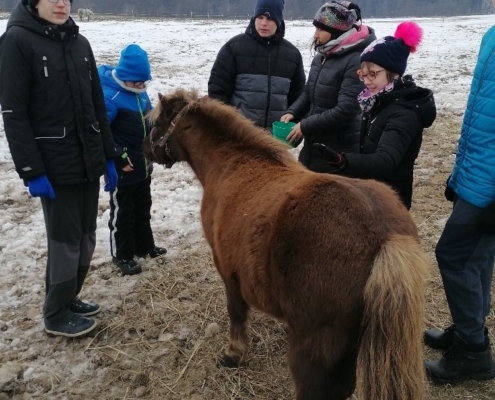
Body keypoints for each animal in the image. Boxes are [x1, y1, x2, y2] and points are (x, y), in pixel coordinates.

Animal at [142, 90, 430, 400]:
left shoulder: (228, 272)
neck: (233, 163)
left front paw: (234, 353)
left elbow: (236, 312)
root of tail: (386, 238)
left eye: (155, 124)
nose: (144, 150)